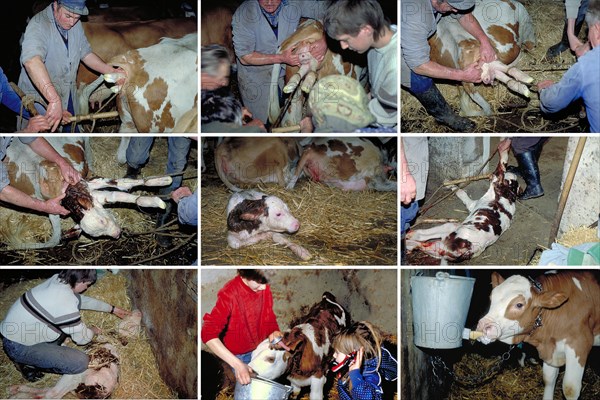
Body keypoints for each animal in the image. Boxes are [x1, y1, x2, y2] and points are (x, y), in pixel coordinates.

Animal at [2, 138, 171, 250]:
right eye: (95, 235)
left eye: (103, 221)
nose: (117, 234)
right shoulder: (93, 194)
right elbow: (119, 194)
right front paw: (155, 198)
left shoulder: (86, 183)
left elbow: (122, 184)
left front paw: (163, 182)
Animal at [476, 272, 596, 400]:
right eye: (491, 298)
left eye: (519, 305)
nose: (482, 326)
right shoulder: (551, 348)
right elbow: (549, 379)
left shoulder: (581, 343)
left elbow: (570, 389)